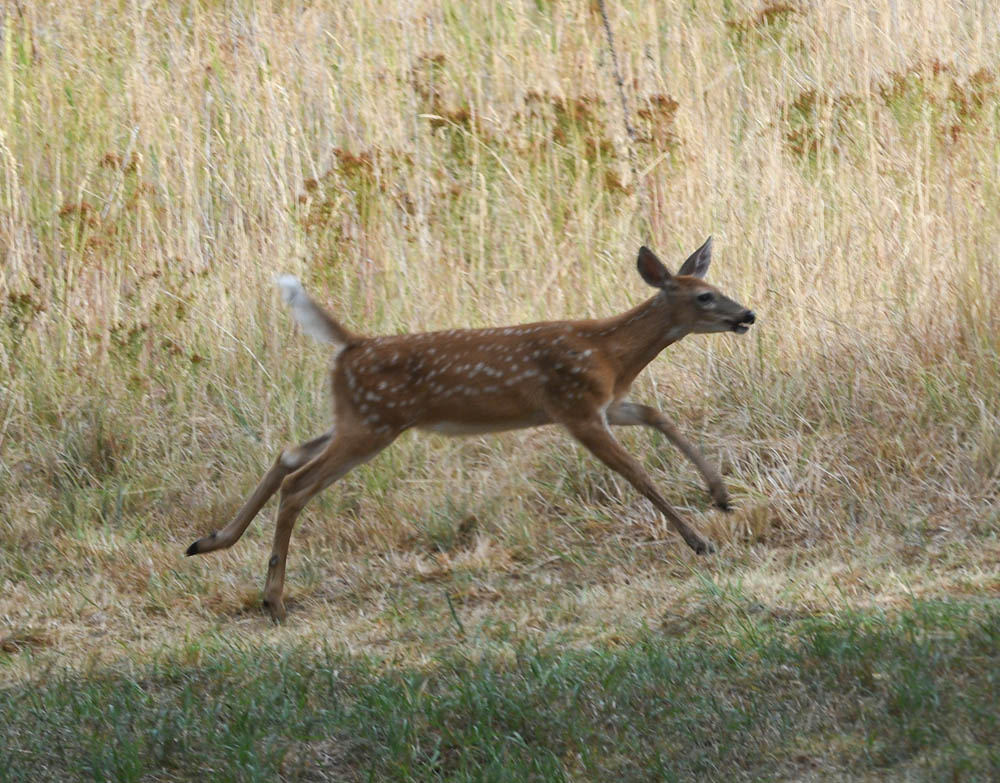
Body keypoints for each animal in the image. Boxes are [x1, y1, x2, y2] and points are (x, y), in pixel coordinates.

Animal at [185, 238, 756, 621]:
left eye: (716, 288)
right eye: (704, 297)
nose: (747, 314)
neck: (609, 353)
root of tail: (350, 344)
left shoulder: (605, 405)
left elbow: (659, 416)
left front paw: (721, 494)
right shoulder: (574, 407)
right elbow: (638, 474)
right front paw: (699, 541)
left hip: (356, 417)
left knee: (287, 454)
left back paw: (211, 542)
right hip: (373, 424)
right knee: (298, 483)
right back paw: (274, 600)